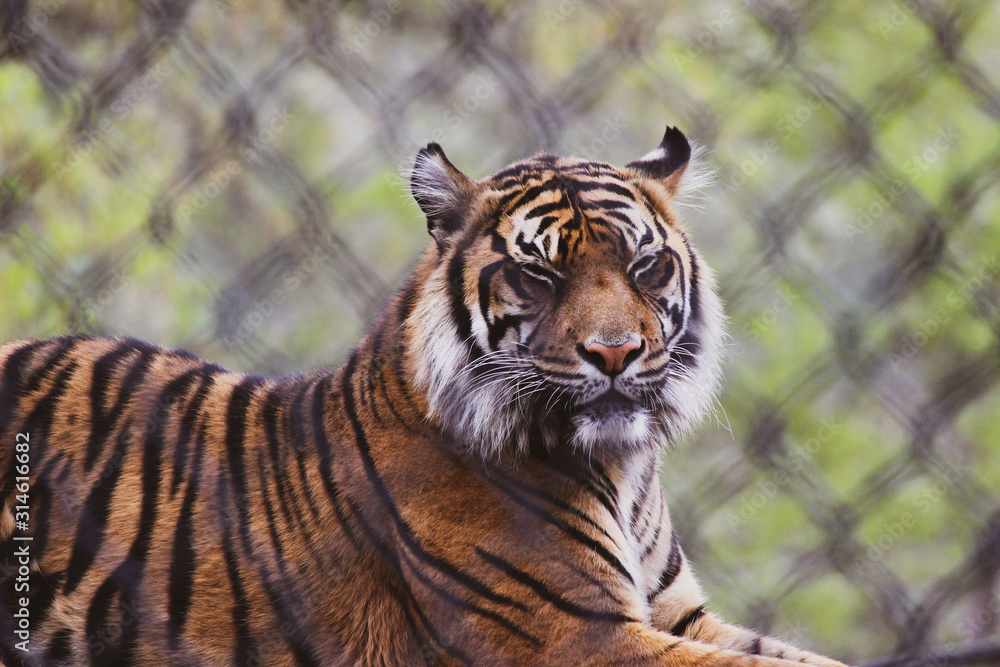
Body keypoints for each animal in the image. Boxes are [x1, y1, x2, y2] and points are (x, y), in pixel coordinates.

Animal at [0, 125, 850, 666]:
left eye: (645, 266)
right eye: (538, 273)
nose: (616, 353)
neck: (621, 466)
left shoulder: (681, 615)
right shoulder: (580, 635)